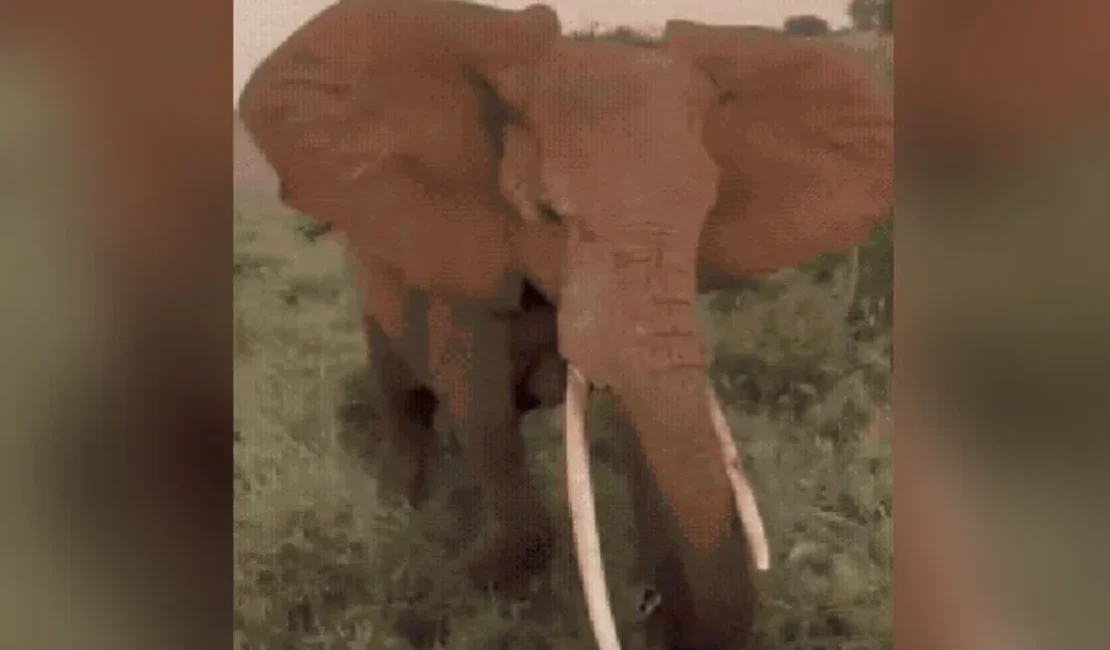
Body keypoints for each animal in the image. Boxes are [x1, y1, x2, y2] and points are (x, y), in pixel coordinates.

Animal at [238, 1, 893, 648]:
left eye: (706, 213)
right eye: (549, 214)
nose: (647, 605)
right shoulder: (468, 266)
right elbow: (482, 415)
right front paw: (476, 579)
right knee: (403, 396)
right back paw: (407, 508)